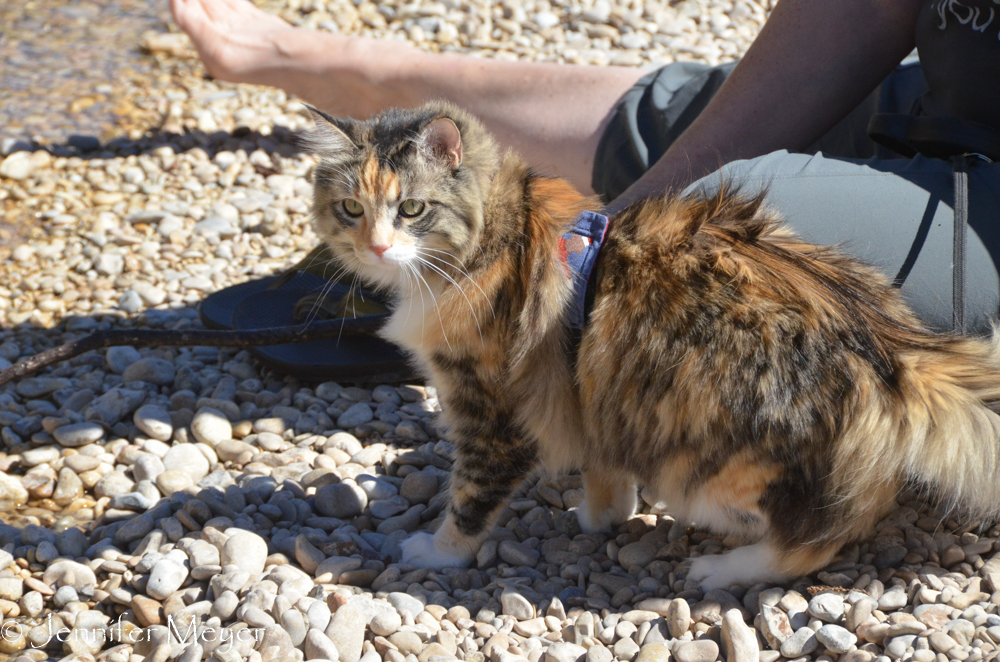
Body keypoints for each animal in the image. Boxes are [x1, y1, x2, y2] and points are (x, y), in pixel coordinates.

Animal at [308, 101, 1000, 588]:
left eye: (412, 209)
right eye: (350, 209)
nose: (375, 246)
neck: (495, 236)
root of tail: (891, 350)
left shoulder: (493, 412)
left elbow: (470, 500)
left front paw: (439, 552)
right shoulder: (591, 386)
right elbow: (604, 472)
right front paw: (602, 518)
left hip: (707, 467)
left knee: (818, 538)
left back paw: (721, 571)